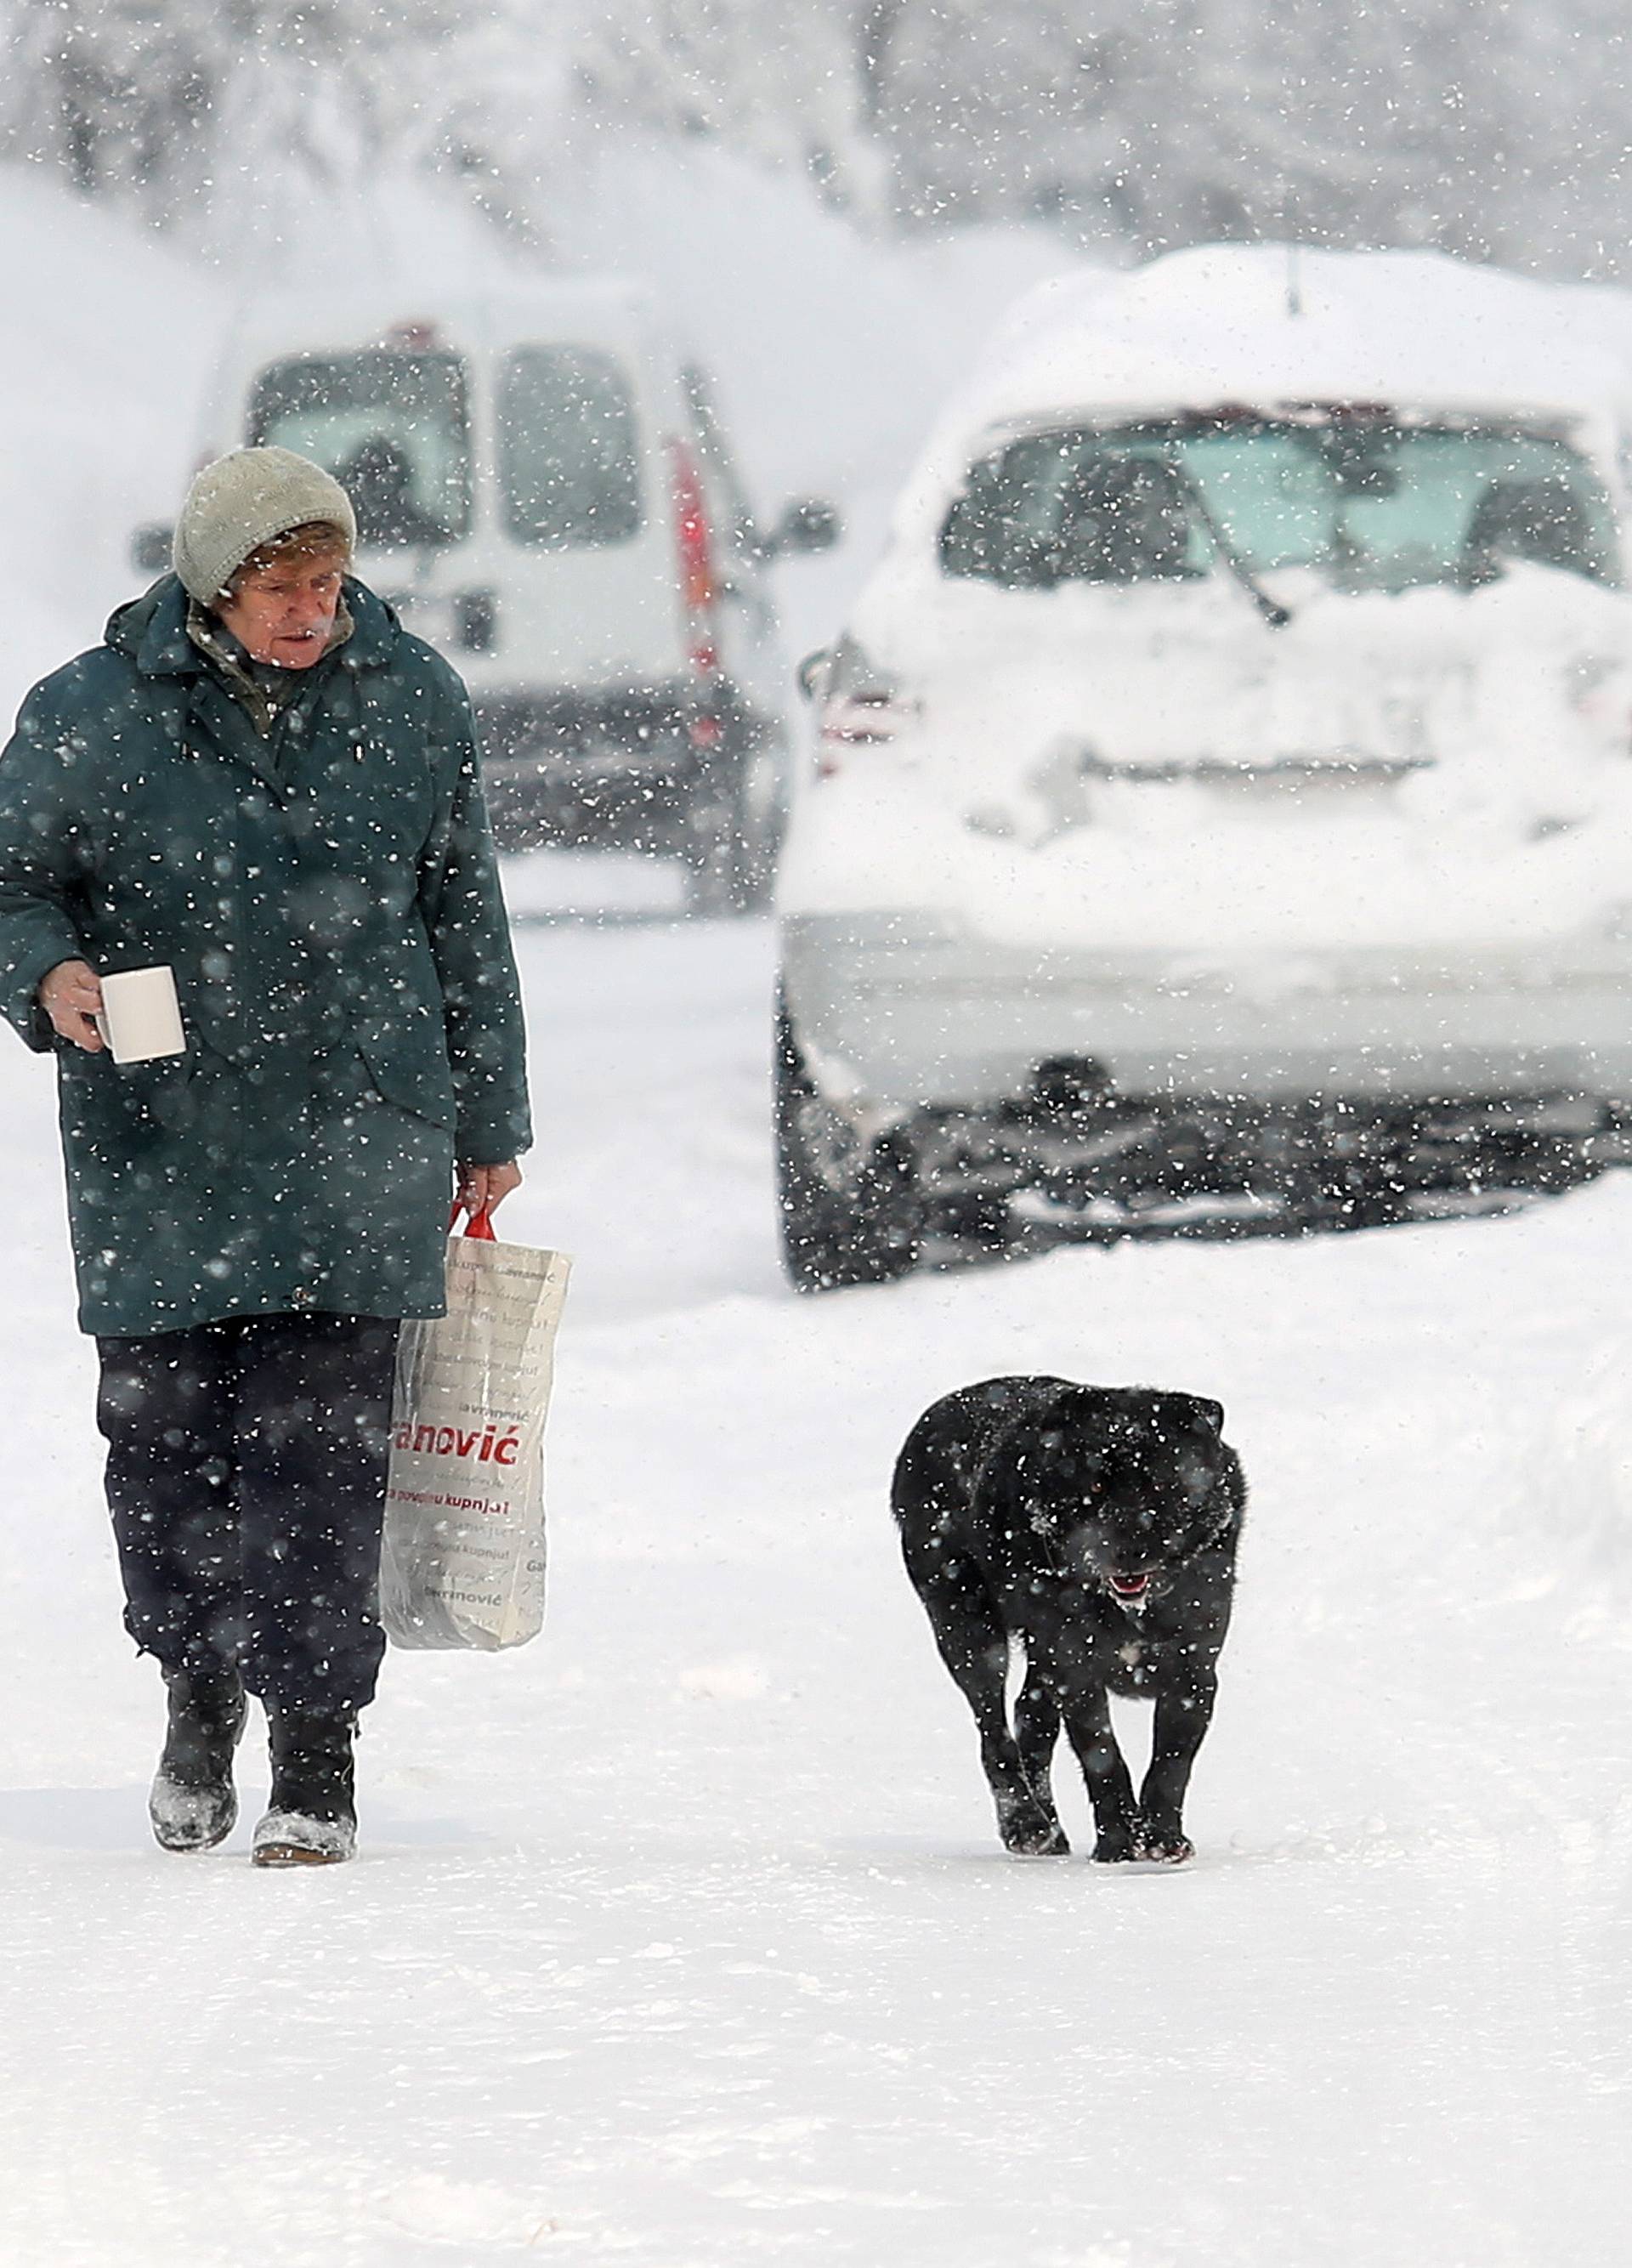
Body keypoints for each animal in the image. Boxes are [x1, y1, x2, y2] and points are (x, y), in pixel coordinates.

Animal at [892, 1369, 1232, 1868]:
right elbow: (1103, 1758)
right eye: (1095, 1489)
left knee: (1029, 1717)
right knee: (993, 1732)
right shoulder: (1077, 1670)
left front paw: (1162, 1839)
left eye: (1160, 1484)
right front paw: (1117, 1846)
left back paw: (1050, 1829)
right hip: (967, 1626)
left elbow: (1171, 1764)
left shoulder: (1194, 1670)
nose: (1126, 1551)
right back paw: (1027, 1826)